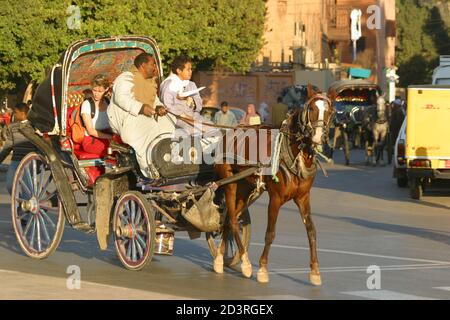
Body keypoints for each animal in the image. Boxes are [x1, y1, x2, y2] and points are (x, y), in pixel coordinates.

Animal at [214, 85, 334, 284]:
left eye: (330, 111)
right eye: (311, 109)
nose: (317, 136)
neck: (294, 153)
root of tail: (230, 132)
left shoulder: (303, 197)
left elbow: (311, 230)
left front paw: (315, 271)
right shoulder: (276, 198)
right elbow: (270, 233)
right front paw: (262, 269)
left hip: (246, 189)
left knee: (229, 220)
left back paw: (219, 259)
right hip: (230, 184)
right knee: (232, 221)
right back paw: (246, 263)